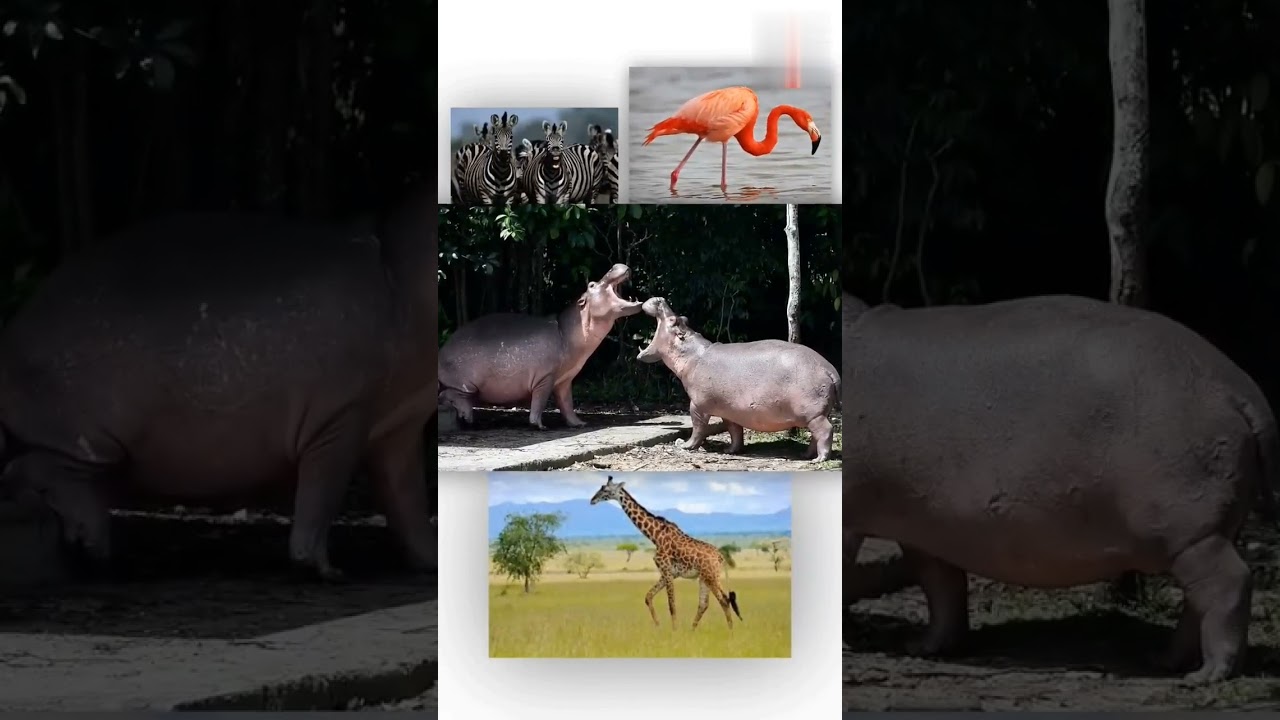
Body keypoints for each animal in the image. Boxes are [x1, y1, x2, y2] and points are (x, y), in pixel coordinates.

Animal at [0, 189, 439, 582]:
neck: (398, 271)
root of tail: (15, 326)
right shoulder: (340, 418)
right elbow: (322, 493)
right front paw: (327, 571)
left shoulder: (398, 427)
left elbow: (407, 499)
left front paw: (430, 562)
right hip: (89, 439)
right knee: (40, 471)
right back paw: (91, 547)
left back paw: (90, 549)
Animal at [437, 263, 642, 430]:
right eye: (591, 285)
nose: (614, 265)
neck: (565, 332)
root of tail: (441, 350)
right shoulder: (546, 377)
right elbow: (540, 401)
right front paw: (540, 426)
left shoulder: (565, 379)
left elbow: (567, 403)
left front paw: (579, 424)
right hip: (465, 384)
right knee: (451, 395)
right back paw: (468, 418)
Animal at [637, 297, 841, 461]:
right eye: (683, 318)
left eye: (673, 320)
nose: (660, 298)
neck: (691, 354)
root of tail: (830, 369)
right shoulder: (729, 410)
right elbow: (734, 430)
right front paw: (730, 451)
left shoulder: (698, 405)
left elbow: (698, 427)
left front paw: (685, 445)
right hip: (816, 414)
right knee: (815, 435)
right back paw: (805, 455)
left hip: (813, 414)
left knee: (825, 431)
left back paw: (819, 459)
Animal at [843, 292, 1280, 683]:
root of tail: (1240, 389)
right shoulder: (923, 526)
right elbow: (942, 586)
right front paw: (923, 648)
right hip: (1203, 532)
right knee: (1198, 599)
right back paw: (1166, 661)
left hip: (1190, 532)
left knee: (1228, 584)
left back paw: (1207, 676)